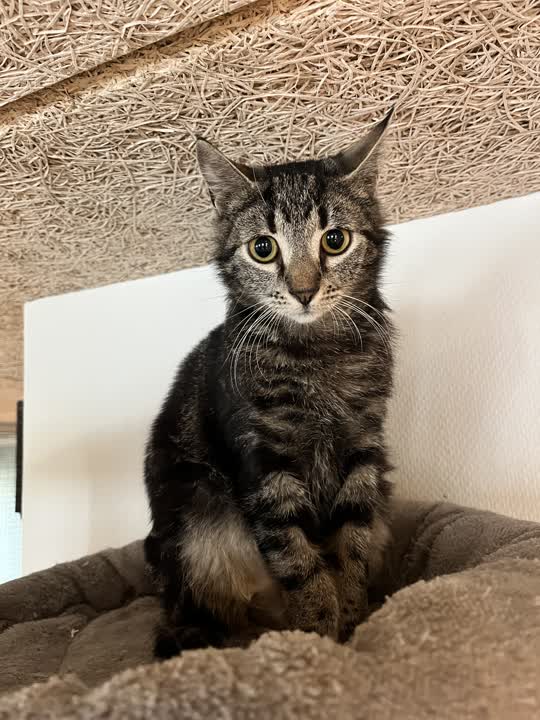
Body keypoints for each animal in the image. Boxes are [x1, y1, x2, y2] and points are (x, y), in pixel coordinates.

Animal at [144, 109, 395, 658]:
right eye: (263, 248)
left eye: (335, 240)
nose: (304, 291)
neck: (316, 353)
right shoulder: (265, 463)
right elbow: (297, 559)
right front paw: (318, 633)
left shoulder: (365, 447)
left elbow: (353, 544)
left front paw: (352, 619)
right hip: (200, 517)